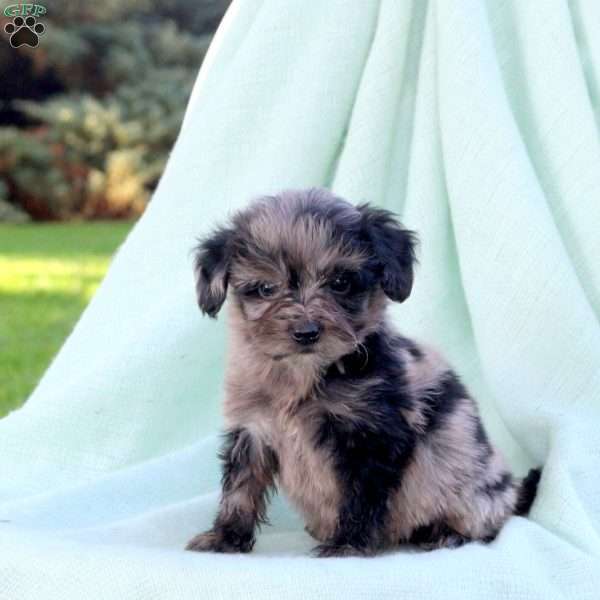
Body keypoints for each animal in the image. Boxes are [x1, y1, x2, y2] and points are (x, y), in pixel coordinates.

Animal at [185, 189, 540, 556]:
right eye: (266, 289)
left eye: (340, 282)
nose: (306, 332)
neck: (304, 374)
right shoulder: (253, 429)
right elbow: (241, 487)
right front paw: (225, 536)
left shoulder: (372, 437)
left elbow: (360, 497)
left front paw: (348, 545)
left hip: (476, 489)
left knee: (486, 521)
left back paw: (445, 532)